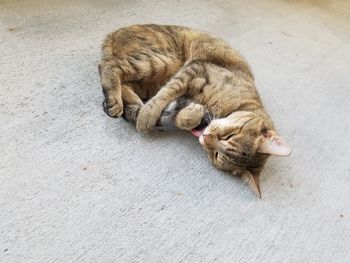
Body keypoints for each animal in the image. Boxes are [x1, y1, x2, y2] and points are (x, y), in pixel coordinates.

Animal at [98, 24, 290, 198]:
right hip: (163, 62)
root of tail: (113, 33)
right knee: (109, 66)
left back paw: (130, 105)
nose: (206, 137)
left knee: (124, 83)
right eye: (229, 136)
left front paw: (189, 114)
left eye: (216, 155)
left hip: (149, 79)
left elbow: (181, 116)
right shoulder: (195, 70)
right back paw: (121, 104)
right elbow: (167, 93)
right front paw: (148, 116)